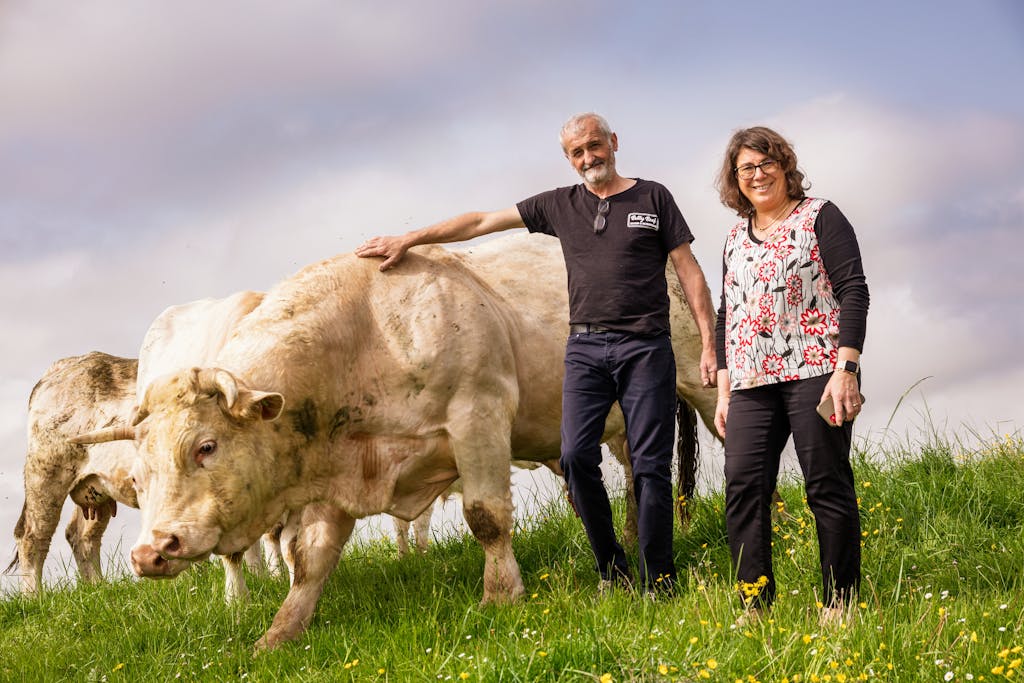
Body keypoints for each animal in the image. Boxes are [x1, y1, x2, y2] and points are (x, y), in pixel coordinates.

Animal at [72, 233, 716, 651]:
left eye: (205, 447)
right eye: (142, 474)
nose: (150, 552)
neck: (367, 333)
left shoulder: (478, 416)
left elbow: (486, 517)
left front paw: (500, 595)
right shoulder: (333, 473)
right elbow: (309, 562)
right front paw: (279, 635)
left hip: (698, 382)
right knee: (626, 483)